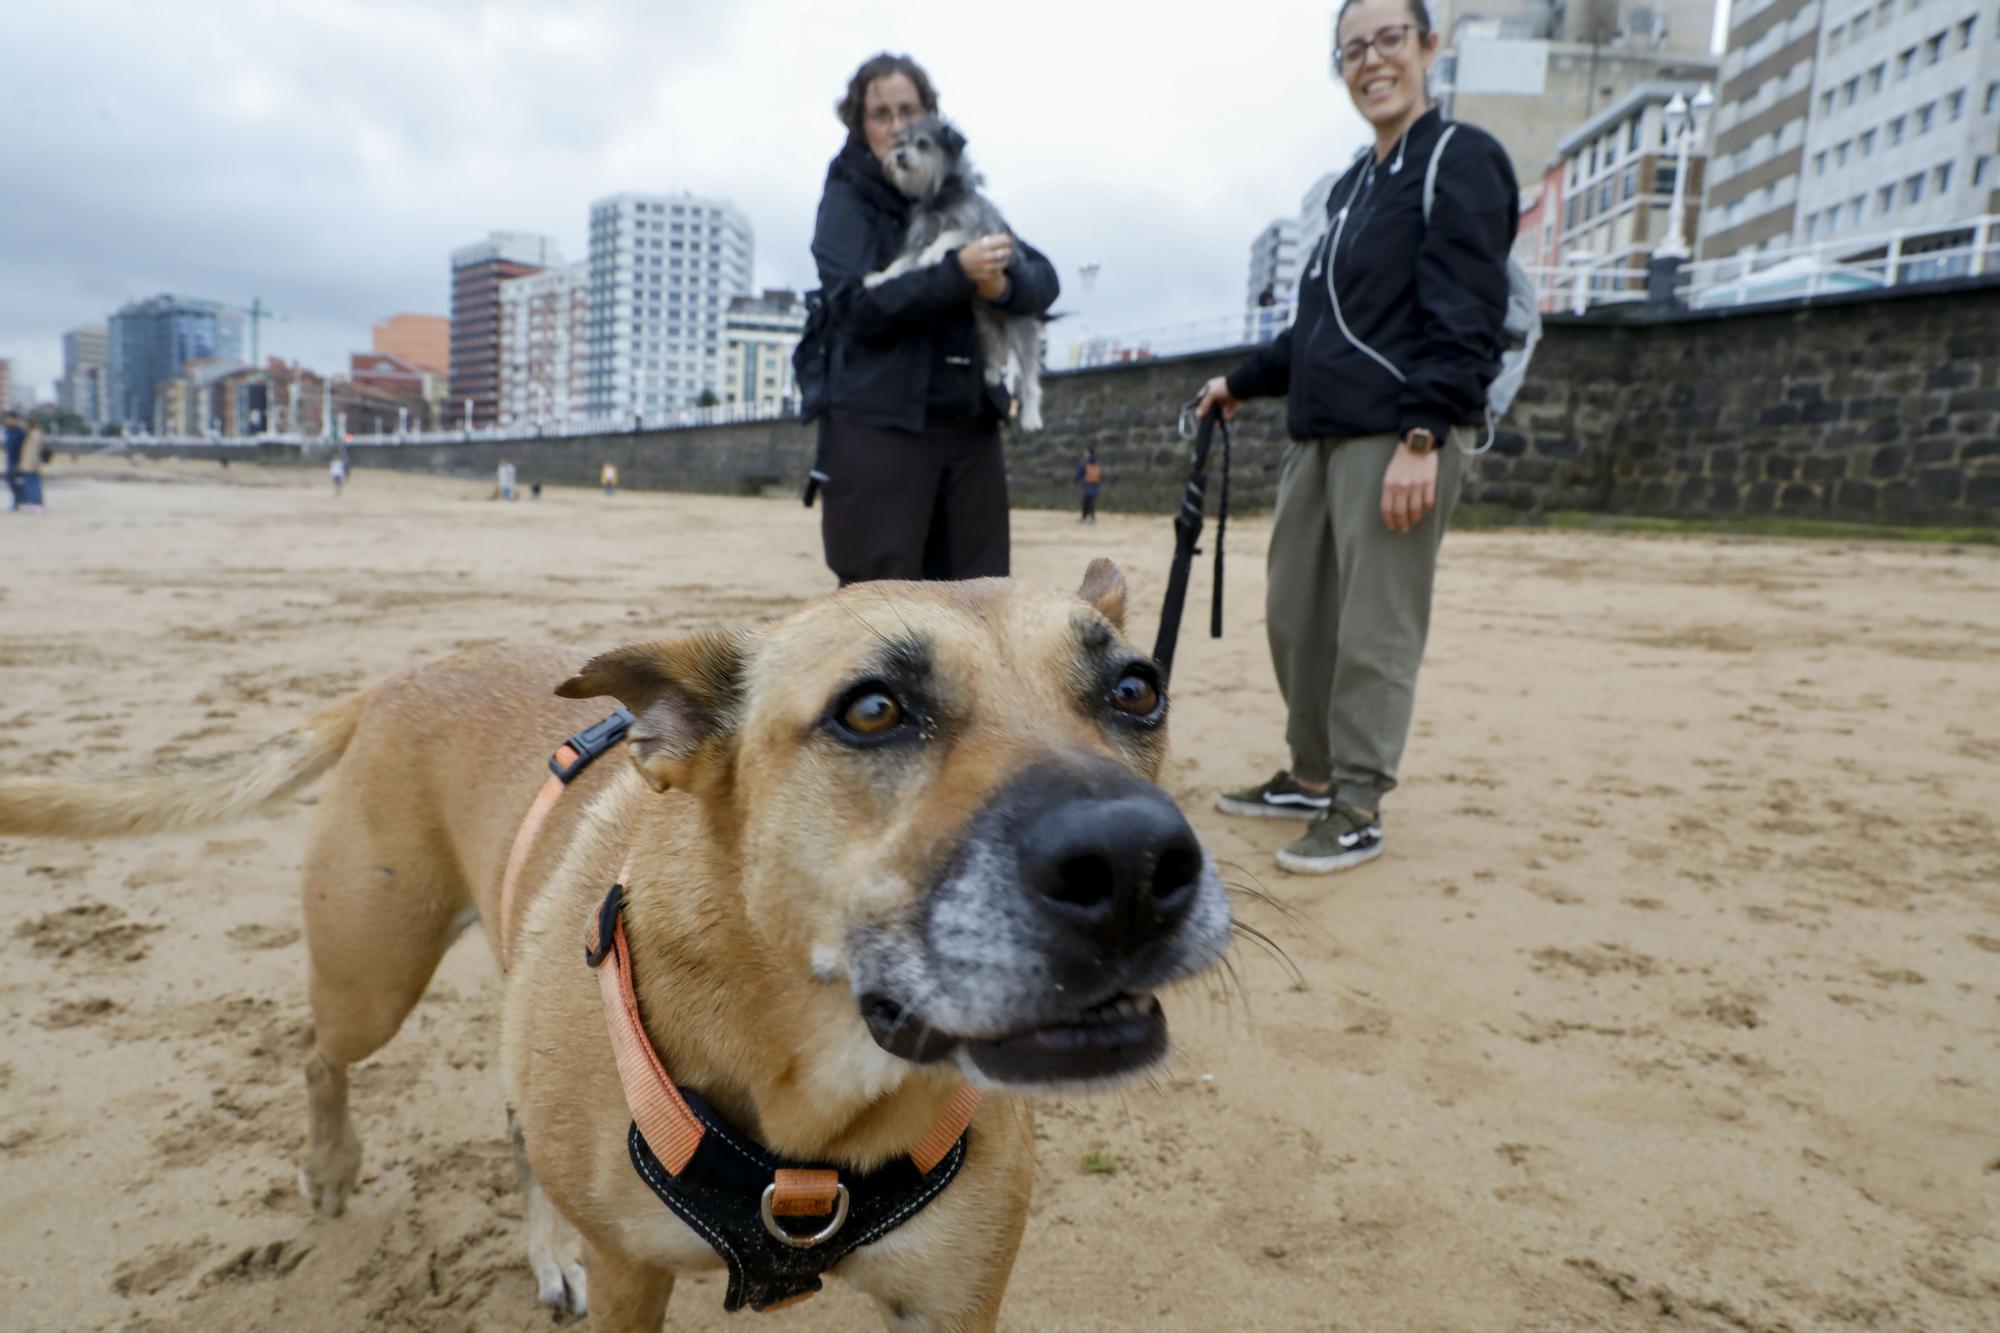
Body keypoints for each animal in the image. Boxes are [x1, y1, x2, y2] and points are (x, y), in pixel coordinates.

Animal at [0, 564, 1224, 1328]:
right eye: (872, 710)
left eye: (1137, 687)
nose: (1133, 864)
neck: (815, 1090)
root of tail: (399, 676)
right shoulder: (637, 1274)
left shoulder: (952, 1299)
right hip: (371, 976)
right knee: (319, 1053)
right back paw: (335, 1166)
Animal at [868, 114, 1048, 428]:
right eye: (900, 143)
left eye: (922, 144)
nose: (899, 157)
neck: (941, 196)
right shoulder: (917, 241)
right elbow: (900, 263)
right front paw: (879, 277)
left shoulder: (975, 233)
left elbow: (949, 236)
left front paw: (933, 255)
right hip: (985, 325)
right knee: (997, 352)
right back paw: (991, 373)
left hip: (1021, 329)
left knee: (1029, 380)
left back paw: (1030, 417)